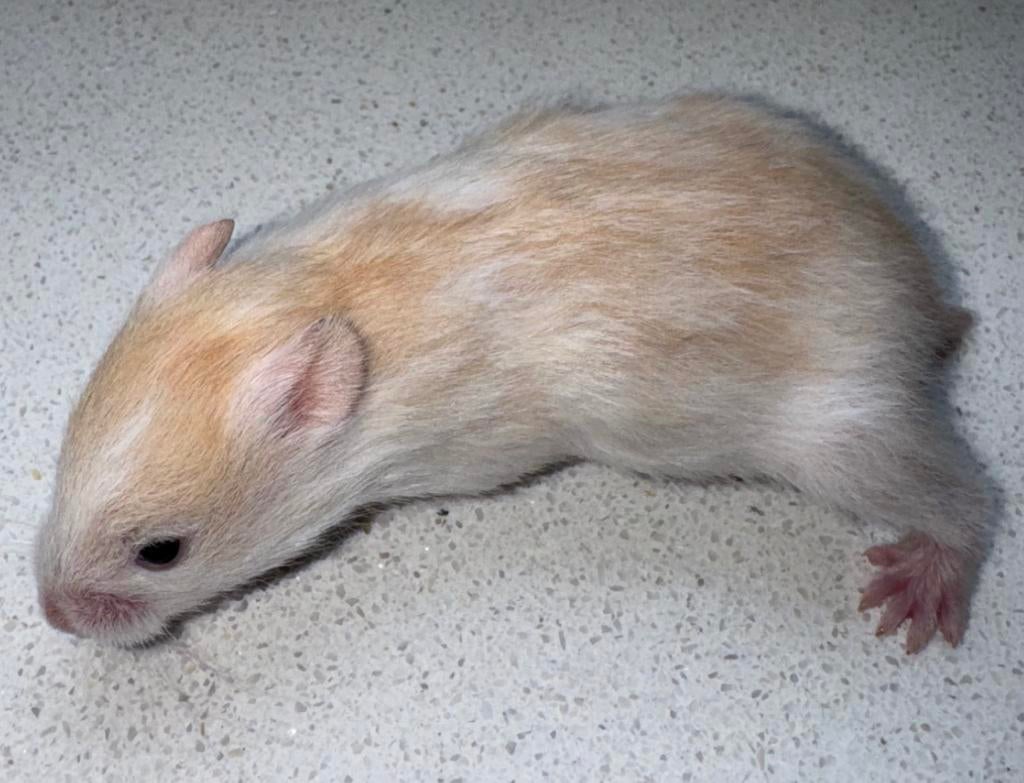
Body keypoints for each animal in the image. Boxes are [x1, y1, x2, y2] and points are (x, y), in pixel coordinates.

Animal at [34, 94, 989, 653]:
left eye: (163, 552)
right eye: (61, 458)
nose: (50, 615)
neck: (318, 293)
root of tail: (924, 291)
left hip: (848, 435)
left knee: (966, 499)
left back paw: (922, 584)